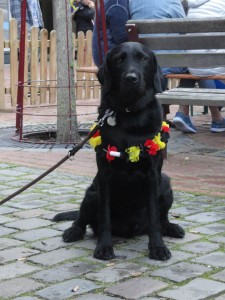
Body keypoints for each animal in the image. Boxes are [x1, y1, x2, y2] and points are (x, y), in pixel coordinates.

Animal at [54, 41, 185, 260]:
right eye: (118, 60)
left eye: (143, 59)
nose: (131, 78)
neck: (130, 113)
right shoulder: (105, 176)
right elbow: (104, 218)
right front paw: (104, 247)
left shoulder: (152, 175)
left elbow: (154, 219)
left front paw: (158, 247)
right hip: (92, 193)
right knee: (81, 219)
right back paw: (73, 231)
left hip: (165, 184)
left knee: (162, 219)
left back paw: (171, 228)